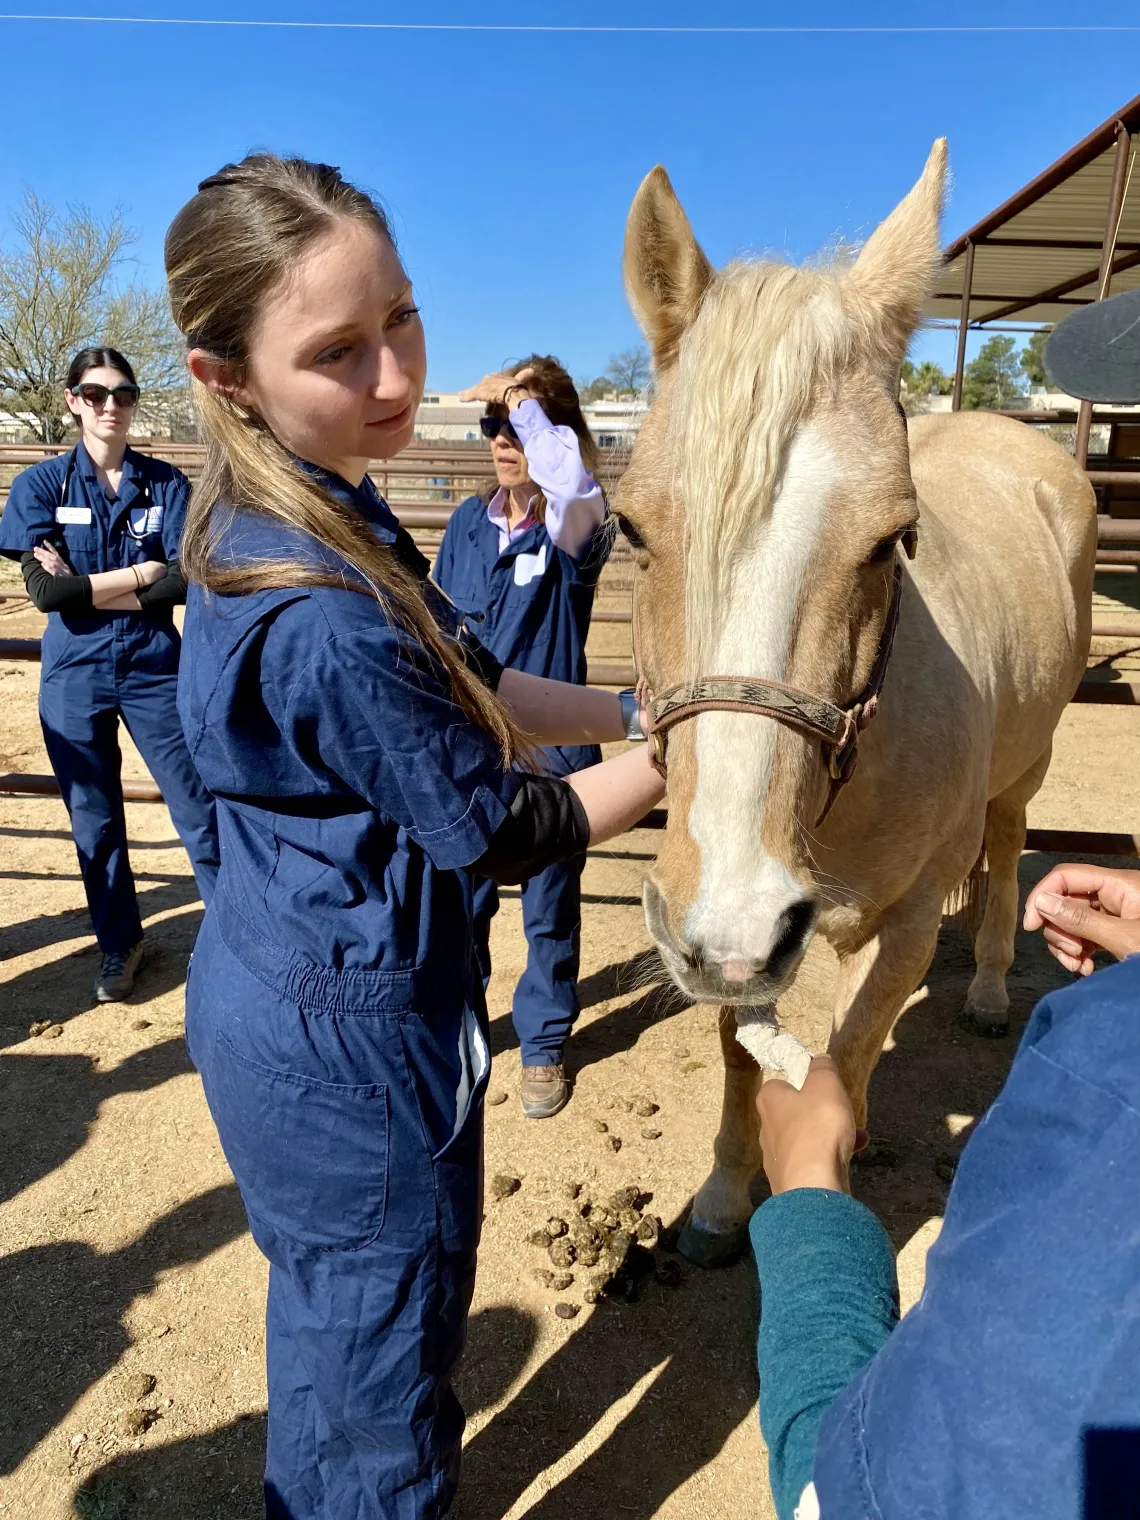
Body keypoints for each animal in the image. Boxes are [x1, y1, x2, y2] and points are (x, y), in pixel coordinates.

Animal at [620, 142, 1100, 1264]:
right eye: (629, 530)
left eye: (890, 541)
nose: (733, 911)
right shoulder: (742, 939)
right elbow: (747, 1051)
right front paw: (720, 1199)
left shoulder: (908, 915)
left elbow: (849, 1049)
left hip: (1029, 765)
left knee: (1006, 848)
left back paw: (986, 989)